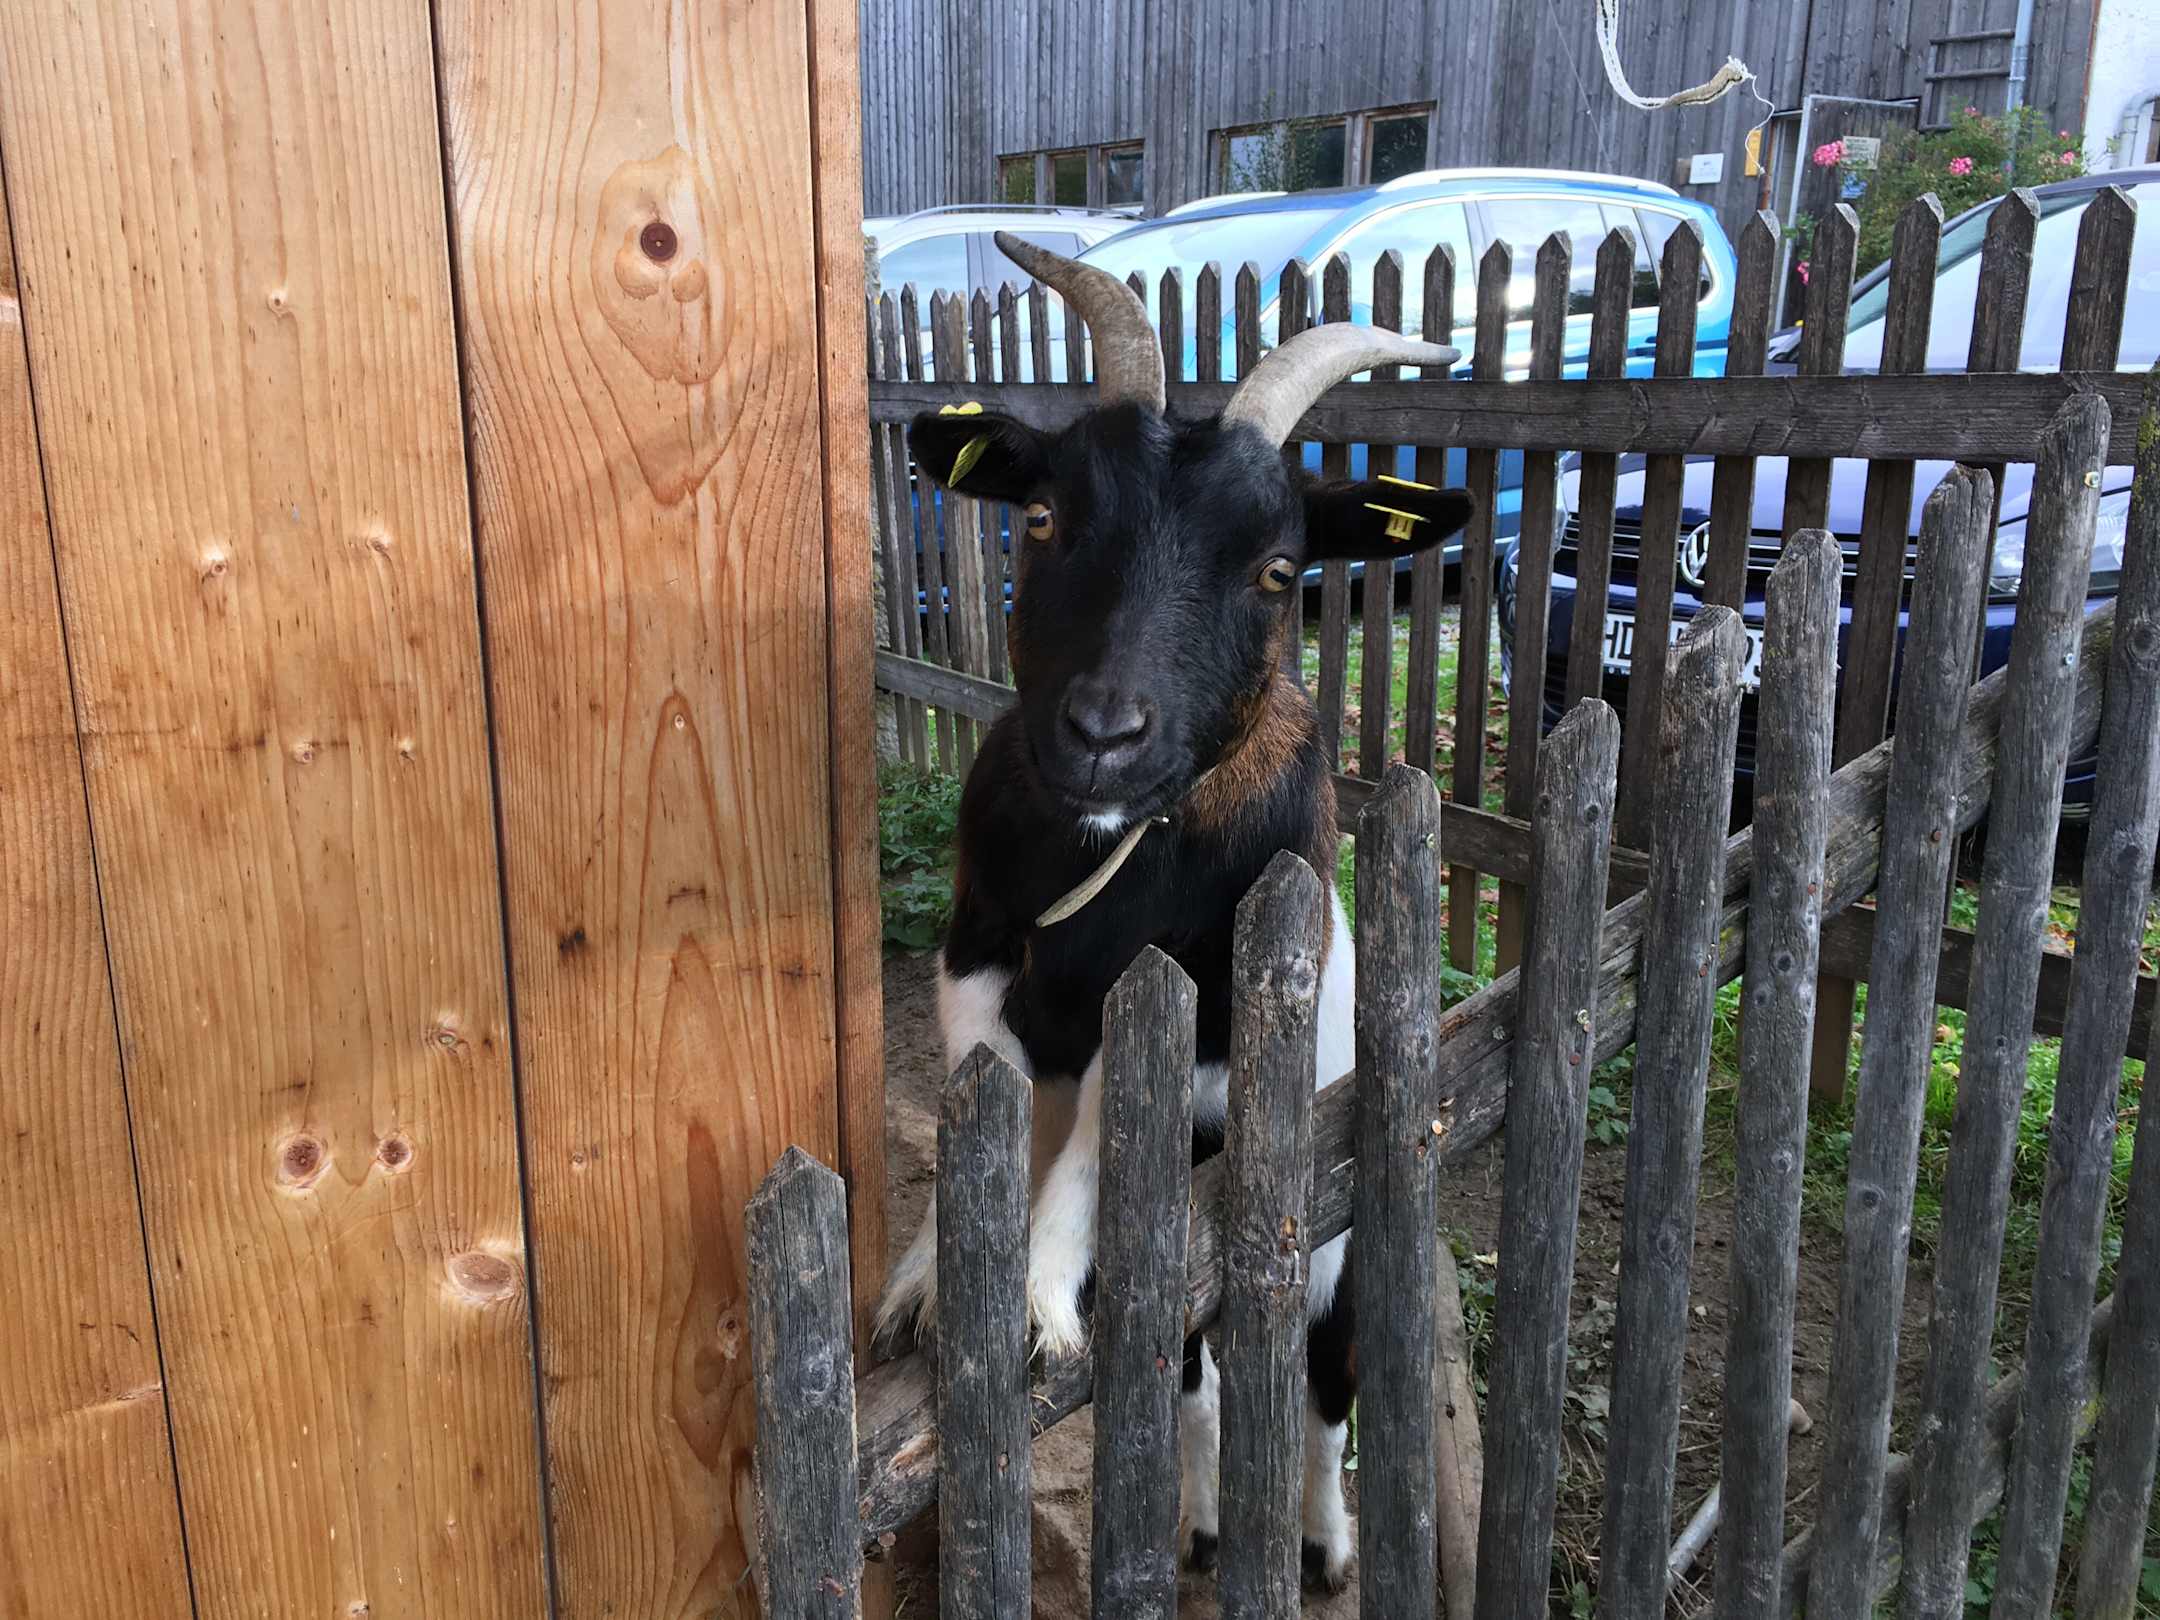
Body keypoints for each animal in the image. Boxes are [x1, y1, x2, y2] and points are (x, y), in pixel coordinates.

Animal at [875, 234, 1473, 1591]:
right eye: (1045, 516)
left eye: (1278, 570)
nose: (1103, 733)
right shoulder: (976, 957)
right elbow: (982, 1099)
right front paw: (934, 1271)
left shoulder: (1197, 1035)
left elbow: (1103, 1131)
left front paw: (1035, 1299)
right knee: (1197, 1381)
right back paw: (1200, 1522)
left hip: (1342, 1236)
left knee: (1322, 1389)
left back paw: (1321, 1541)